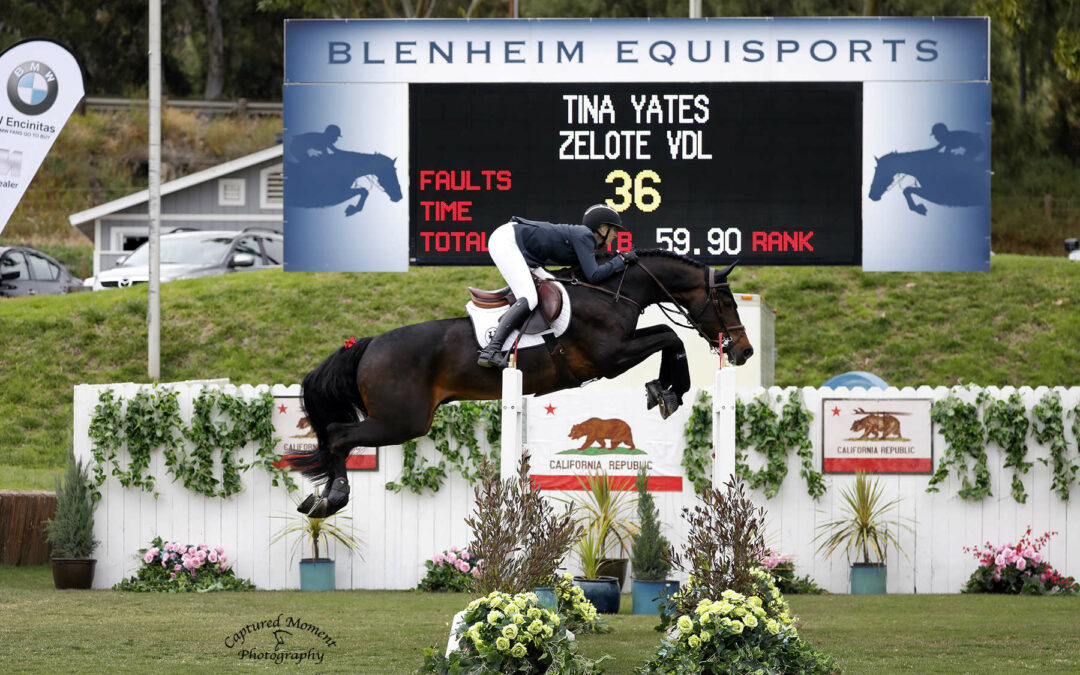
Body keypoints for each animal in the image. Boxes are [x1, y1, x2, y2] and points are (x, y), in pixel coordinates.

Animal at [291, 248, 756, 516]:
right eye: (726, 300)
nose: (745, 351)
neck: (610, 292)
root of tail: (368, 344)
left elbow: (664, 334)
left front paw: (661, 390)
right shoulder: (610, 358)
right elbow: (670, 335)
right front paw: (669, 391)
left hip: (399, 421)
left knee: (336, 437)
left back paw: (320, 499)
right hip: (401, 421)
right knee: (338, 435)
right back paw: (331, 499)